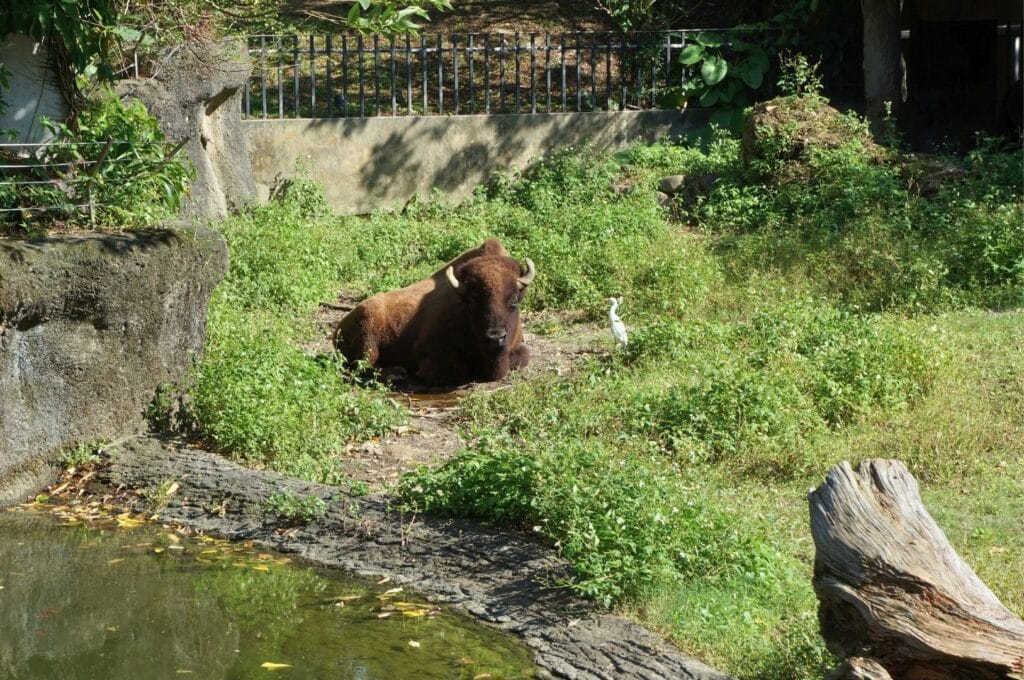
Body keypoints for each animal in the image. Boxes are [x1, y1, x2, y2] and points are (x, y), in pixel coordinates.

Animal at [333, 239, 535, 386]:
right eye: (472, 301)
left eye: (514, 301)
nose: (495, 337)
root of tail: (340, 326)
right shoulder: (427, 349)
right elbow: (456, 371)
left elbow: (524, 355)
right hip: (368, 336)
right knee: (365, 365)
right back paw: (396, 373)